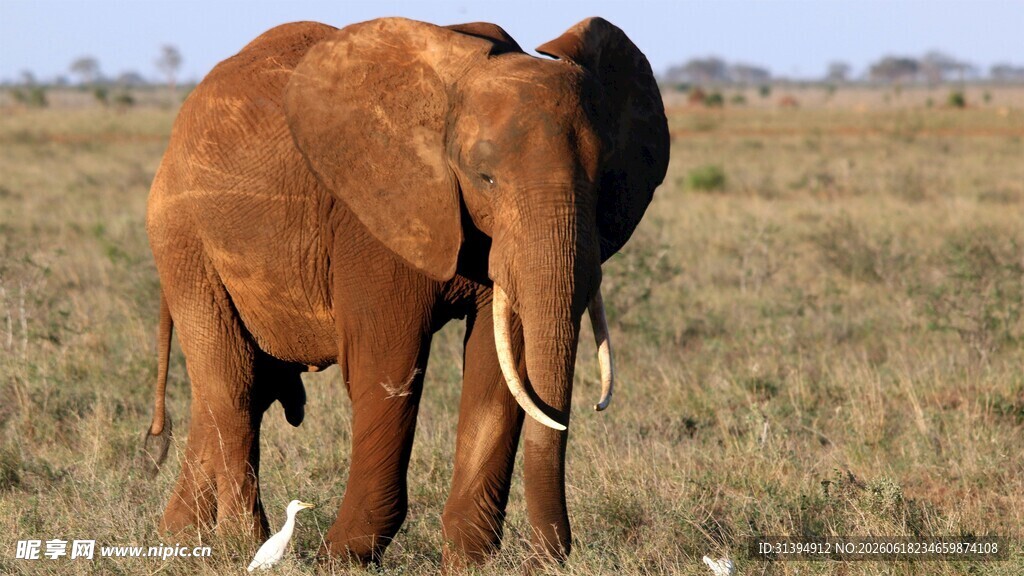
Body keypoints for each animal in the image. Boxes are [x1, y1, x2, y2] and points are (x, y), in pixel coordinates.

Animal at [141, 16, 668, 568]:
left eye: (603, 179)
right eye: (486, 178)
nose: (543, 559)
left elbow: (499, 370)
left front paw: (468, 563)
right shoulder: (371, 217)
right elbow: (387, 366)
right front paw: (341, 559)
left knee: (238, 388)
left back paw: (179, 539)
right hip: (182, 239)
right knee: (233, 384)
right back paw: (242, 545)